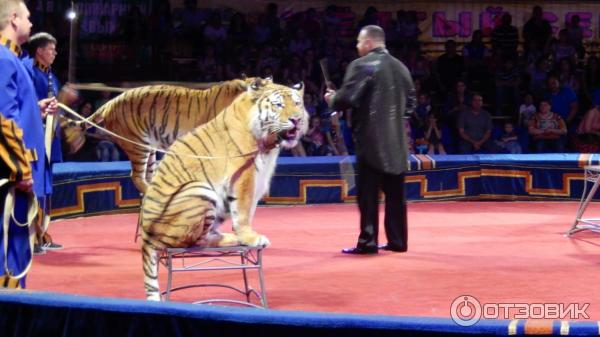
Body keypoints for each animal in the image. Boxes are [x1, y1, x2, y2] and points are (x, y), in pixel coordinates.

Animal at [141, 78, 308, 300]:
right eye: (278, 105)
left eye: (297, 103)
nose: (296, 119)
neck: (267, 141)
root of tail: (146, 238)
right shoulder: (244, 175)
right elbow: (244, 211)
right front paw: (249, 237)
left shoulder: (259, 179)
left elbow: (248, 211)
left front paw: (246, 236)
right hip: (200, 190)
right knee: (195, 242)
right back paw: (229, 238)